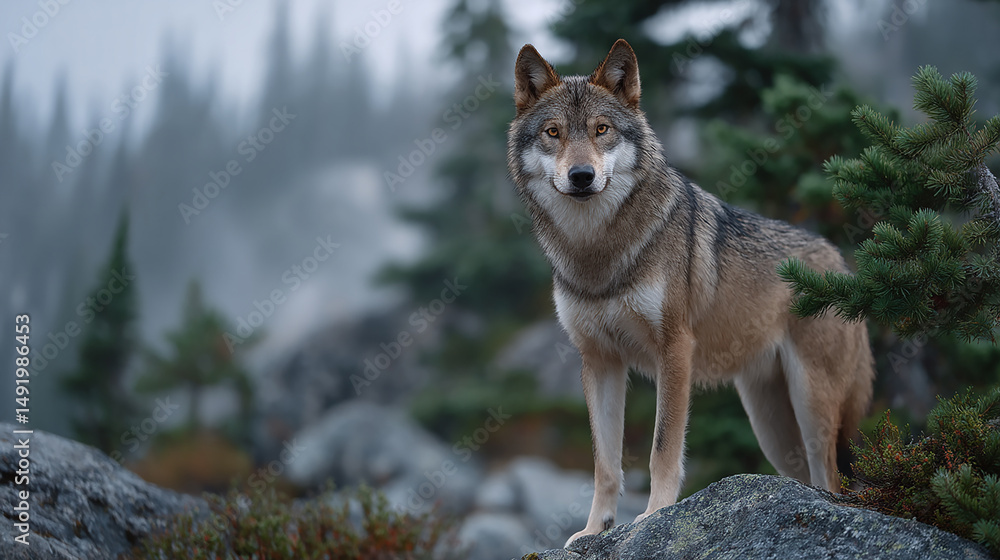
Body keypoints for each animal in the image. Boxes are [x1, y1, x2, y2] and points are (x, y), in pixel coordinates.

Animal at [506, 39, 875, 546]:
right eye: (553, 132)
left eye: (601, 129)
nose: (581, 175)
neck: (597, 252)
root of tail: (841, 264)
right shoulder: (599, 360)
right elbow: (605, 463)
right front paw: (595, 530)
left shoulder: (675, 350)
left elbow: (662, 446)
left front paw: (655, 514)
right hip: (772, 428)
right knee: (807, 482)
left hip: (813, 409)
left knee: (833, 480)